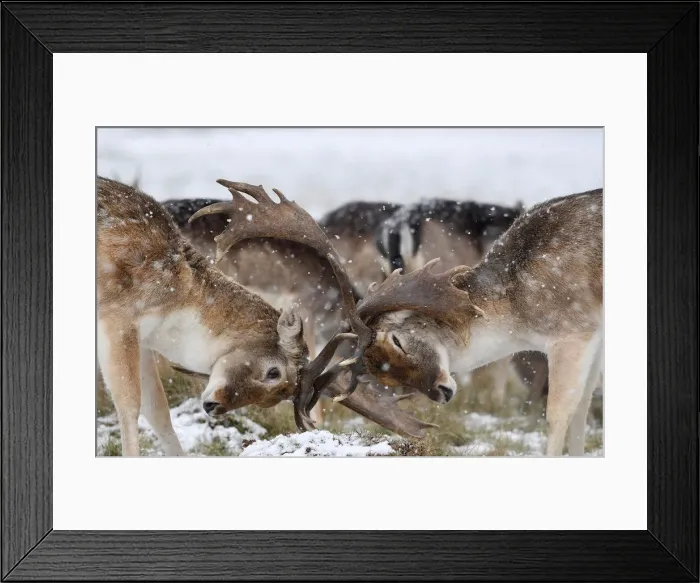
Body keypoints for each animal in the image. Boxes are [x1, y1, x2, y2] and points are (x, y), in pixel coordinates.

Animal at [97, 177, 434, 456]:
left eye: (275, 398)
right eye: (273, 372)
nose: (213, 406)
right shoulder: (118, 318)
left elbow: (157, 409)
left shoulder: (143, 338)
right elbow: (129, 405)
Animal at [295, 188, 603, 456]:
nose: (441, 392)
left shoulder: (573, 331)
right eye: (382, 375)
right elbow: (580, 411)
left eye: (397, 340)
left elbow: (561, 414)